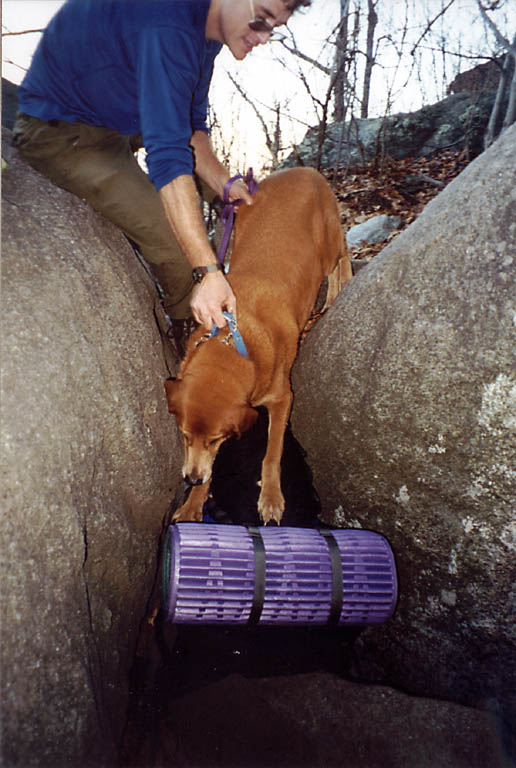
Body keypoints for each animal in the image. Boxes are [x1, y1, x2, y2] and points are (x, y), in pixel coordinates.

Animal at [164, 168, 350, 524]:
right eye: (183, 436)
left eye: (215, 439)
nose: (191, 479)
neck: (231, 345)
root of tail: (303, 169)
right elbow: (213, 470)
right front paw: (194, 502)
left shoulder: (282, 399)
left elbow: (272, 452)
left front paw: (272, 497)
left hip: (329, 241)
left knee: (343, 252)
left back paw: (339, 290)